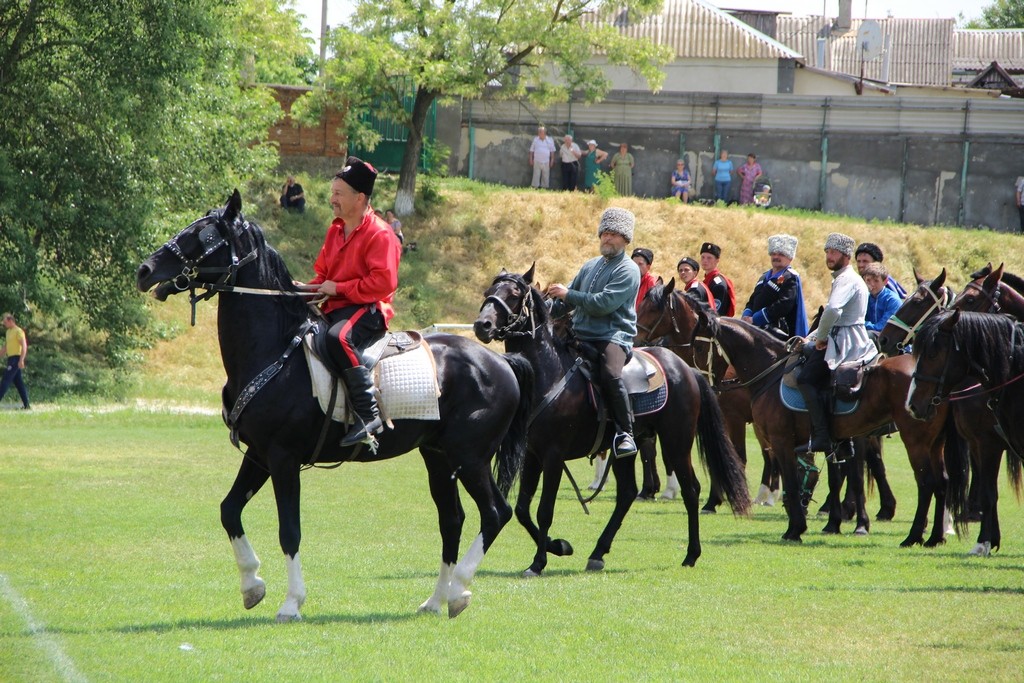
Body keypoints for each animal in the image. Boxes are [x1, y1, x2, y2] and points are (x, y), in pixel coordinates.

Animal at [136, 191, 536, 618]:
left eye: (204, 235)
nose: (145, 270)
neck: (274, 351)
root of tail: (500, 362)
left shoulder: (283, 458)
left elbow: (289, 531)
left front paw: (291, 602)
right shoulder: (259, 455)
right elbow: (229, 510)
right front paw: (252, 585)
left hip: (470, 457)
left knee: (495, 513)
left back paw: (459, 591)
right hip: (439, 457)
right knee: (453, 519)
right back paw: (435, 600)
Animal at [473, 264, 753, 573]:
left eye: (513, 295)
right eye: (488, 292)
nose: (482, 325)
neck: (548, 372)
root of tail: (685, 369)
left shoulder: (553, 456)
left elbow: (544, 511)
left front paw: (538, 562)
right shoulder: (532, 455)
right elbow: (523, 510)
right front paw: (558, 547)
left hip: (676, 443)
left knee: (691, 491)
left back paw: (691, 554)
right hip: (628, 450)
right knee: (627, 493)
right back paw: (598, 552)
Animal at [643, 282, 946, 544]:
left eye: (699, 345)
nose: (703, 383)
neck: (769, 371)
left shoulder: (775, 437)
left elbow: (781, 472)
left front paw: (794, 527)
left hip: (910, 438)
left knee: (921, 481)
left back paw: (907, 531)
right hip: (930, 442)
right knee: (935, 479)